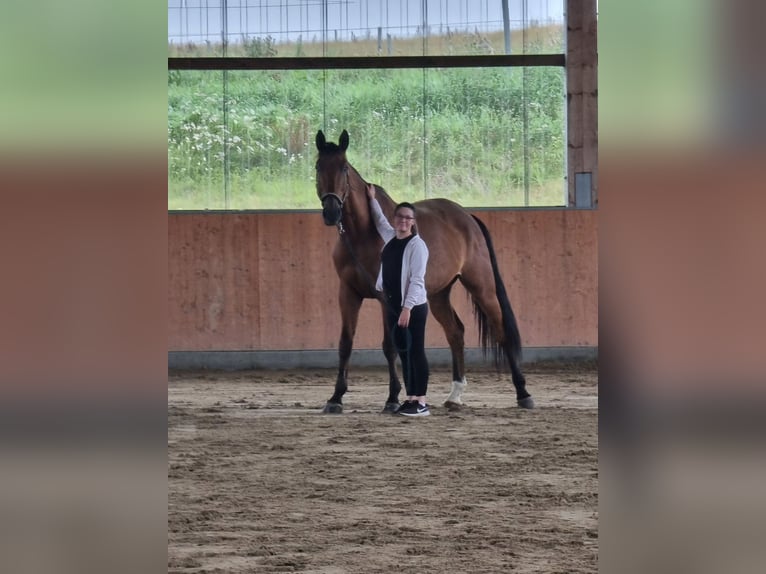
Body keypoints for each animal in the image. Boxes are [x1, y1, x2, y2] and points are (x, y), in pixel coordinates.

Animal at [316, 132, 536, 414]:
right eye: (318, 167)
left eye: (343, 167)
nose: (332, 212)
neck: (364, 232)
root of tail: (468, 217)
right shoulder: (348, 293)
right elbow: (345, 344)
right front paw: (335, 398)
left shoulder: (385, 297)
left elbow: (390, 346)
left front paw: (392, 398)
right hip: (438, 294)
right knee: (456, 333)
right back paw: (455, 395)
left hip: (482, 287)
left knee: (501, 331)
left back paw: (523, 393)